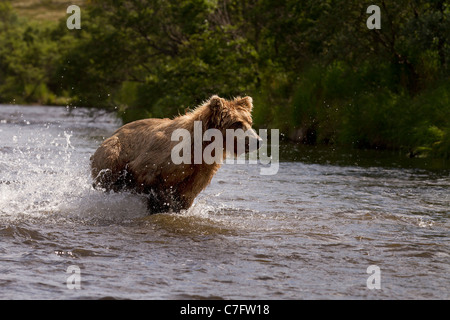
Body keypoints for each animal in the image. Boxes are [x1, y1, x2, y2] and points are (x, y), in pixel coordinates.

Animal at [90, 96, 260, 214]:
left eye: (249, 122)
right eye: (237, 123)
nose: (258, 141)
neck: (201, 146)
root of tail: (113, 133)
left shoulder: (201, 169)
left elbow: (187, 194)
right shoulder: (159, 158)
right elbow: (148, 176)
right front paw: (163, 204)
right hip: (113, 152)